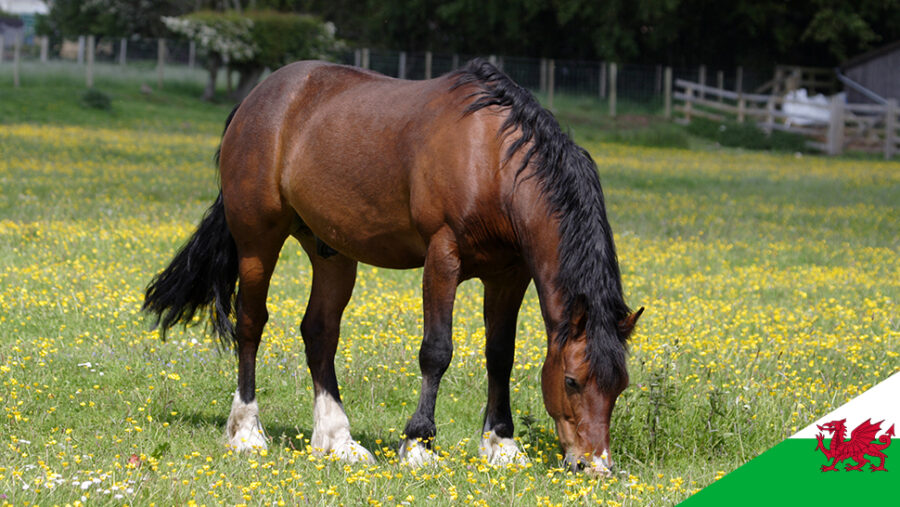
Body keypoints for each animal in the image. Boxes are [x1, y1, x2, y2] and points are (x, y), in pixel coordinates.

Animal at [142, 59, 640, 476]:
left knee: (319, 331)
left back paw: (337, 440)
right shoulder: (443, 257)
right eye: (572, 381)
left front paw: (501, 445)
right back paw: (246, 432)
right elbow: (436, 351)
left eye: (620, 386)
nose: (595, 466)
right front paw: (418, 444)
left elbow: (500, 355)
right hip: (257, 240)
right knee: (251, 323)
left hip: (332, 251)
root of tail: (257, 98)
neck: (493, 160)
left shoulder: (508, 274)